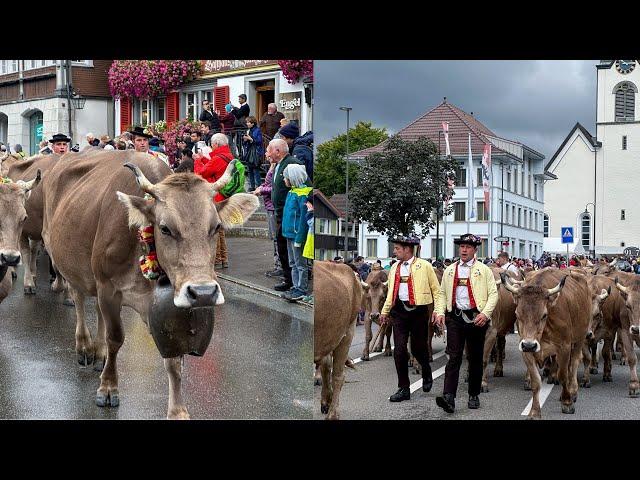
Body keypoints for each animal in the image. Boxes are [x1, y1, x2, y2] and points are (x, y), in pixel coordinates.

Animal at [40, 151, 258, 420]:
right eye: (164, 228)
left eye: (216, 227)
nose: (204, 293)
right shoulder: (108, 287)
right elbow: (115, 338)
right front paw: (108, 387)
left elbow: (174, 359)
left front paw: (178, 411)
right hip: (70, 263)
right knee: (79, 299)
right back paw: (84, 347)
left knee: (97, 311)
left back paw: (99, 354)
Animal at [500, 268, 592, 418]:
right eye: (517, 314)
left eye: (544, 315)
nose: (529, 345)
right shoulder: (526, 351)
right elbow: (536, 382)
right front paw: (534, 411)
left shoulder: (564, 347)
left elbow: (563, 375)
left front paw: (567, 402)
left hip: (579, 339)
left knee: (573, 365)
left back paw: (573, 391)